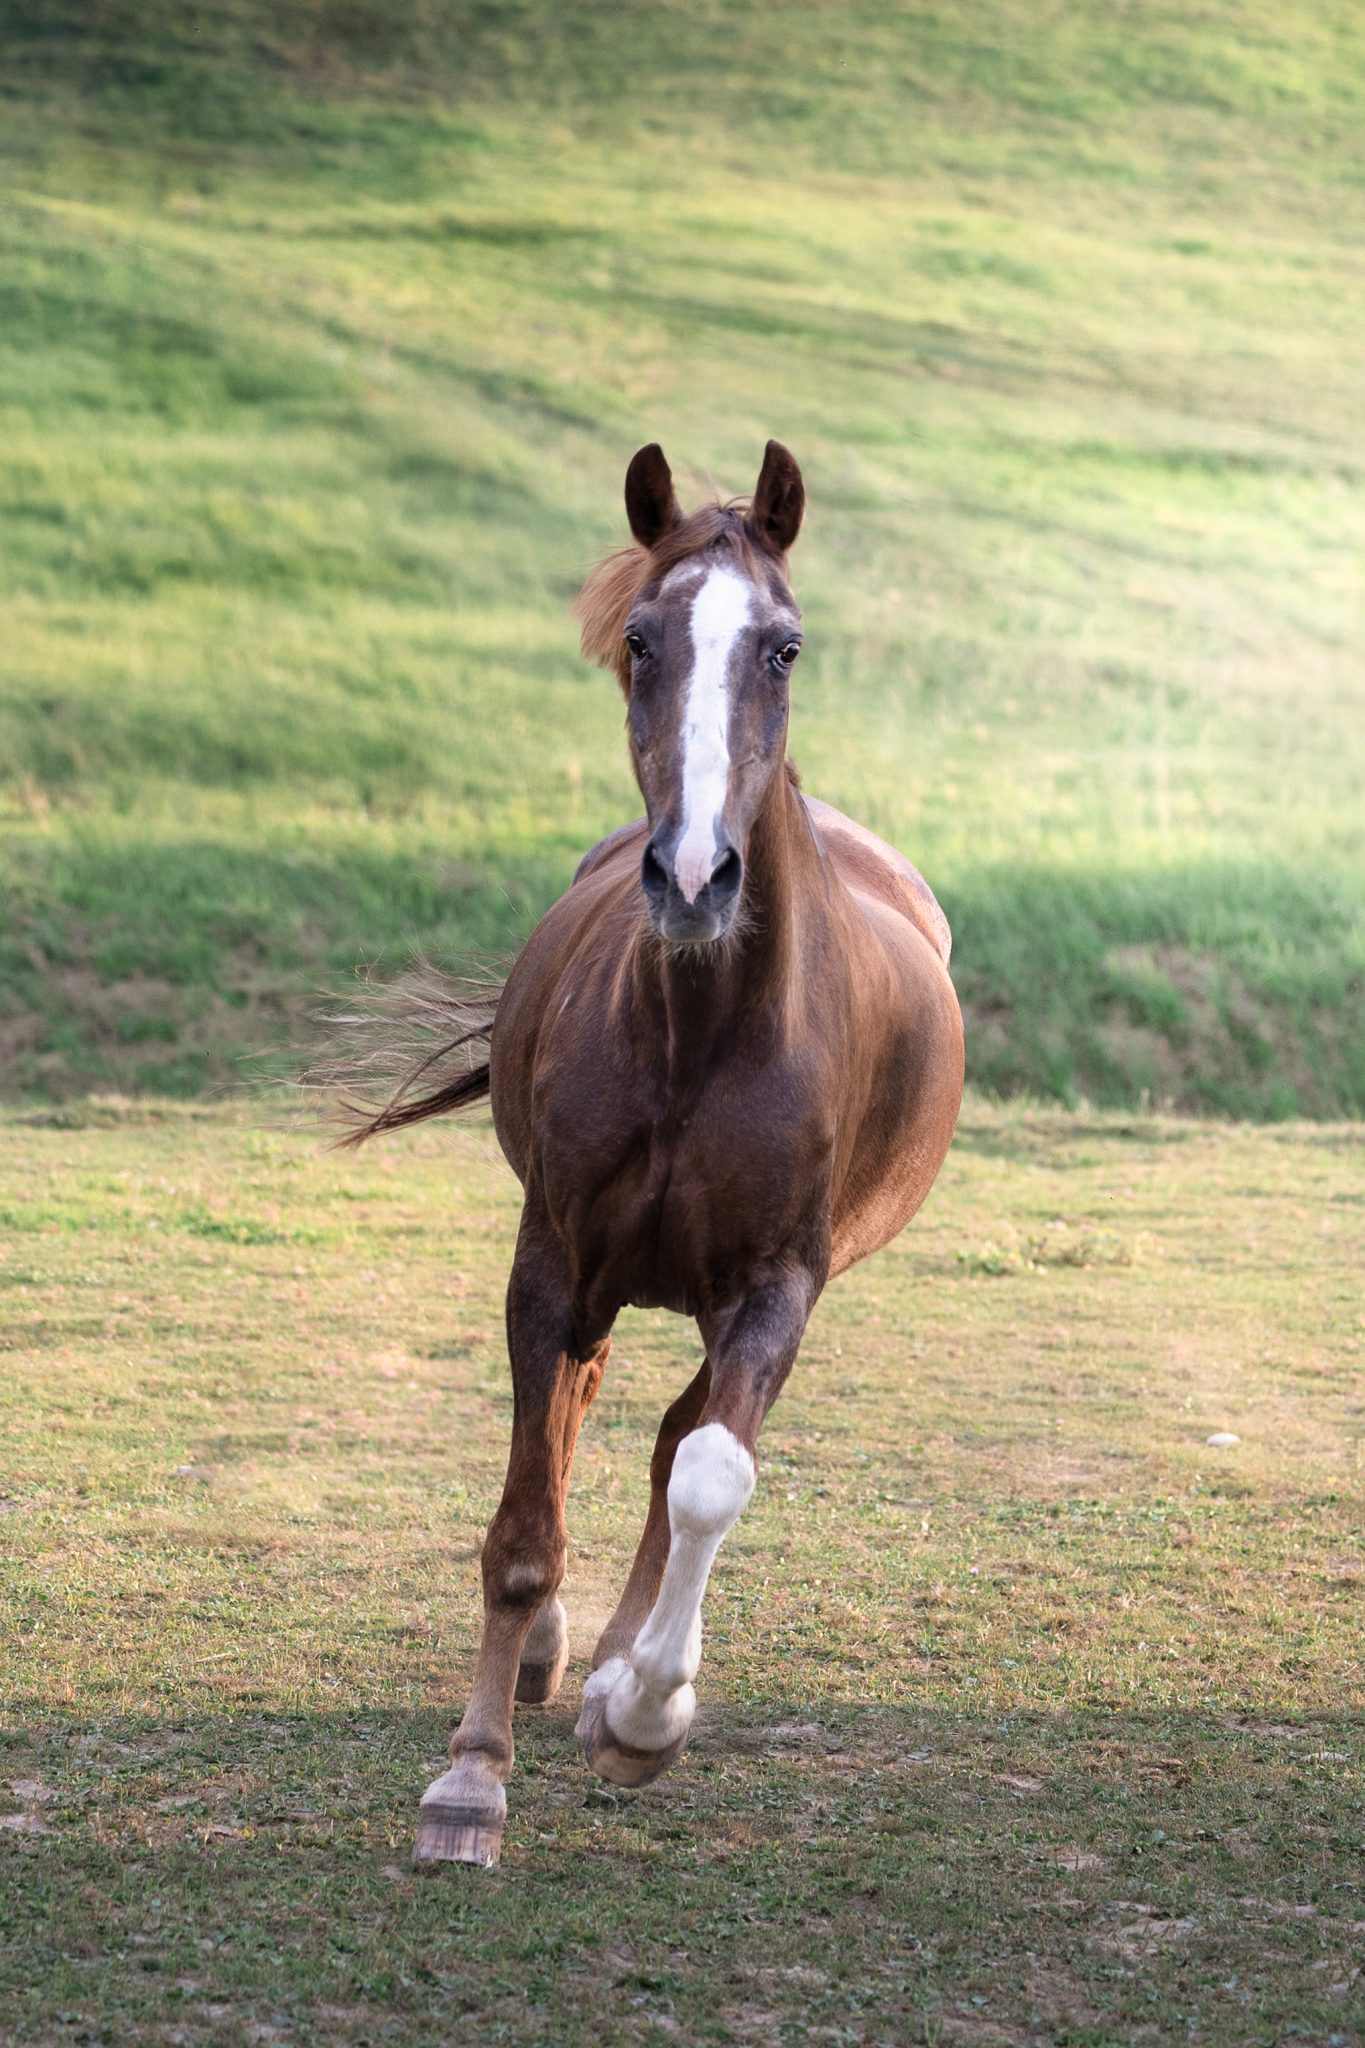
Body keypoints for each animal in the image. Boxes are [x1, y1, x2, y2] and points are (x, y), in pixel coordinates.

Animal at [336, 441, 964, 1867]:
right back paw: (550, 1655)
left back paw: (617, 1661)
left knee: (679, 1435)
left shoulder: (778, 1285)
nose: (695, 878)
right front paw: (471, 1777)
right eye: (640, 638)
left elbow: (713, 1471)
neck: (701, 1030)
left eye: (785, 645)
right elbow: (523, 1521)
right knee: (578, 1407)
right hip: (601, 1276)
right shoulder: (555, 1257)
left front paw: (644, 1711)